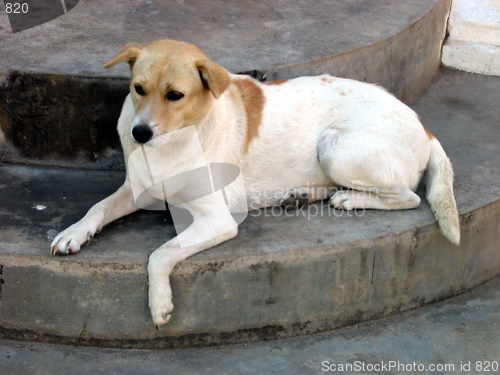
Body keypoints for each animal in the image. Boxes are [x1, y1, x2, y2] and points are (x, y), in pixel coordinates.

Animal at [50, 39, 460, 328]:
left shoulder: (217, 220)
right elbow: (98, 207)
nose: (139, 134)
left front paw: (160, 302)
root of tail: (424, 127)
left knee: (408, 197)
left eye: (175, 95)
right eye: (138, 88)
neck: (175, 142)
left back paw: (351, 200)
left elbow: (160, 254)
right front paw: (74, 233)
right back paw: (301, 194)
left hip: (335, 147)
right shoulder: (139, 190)